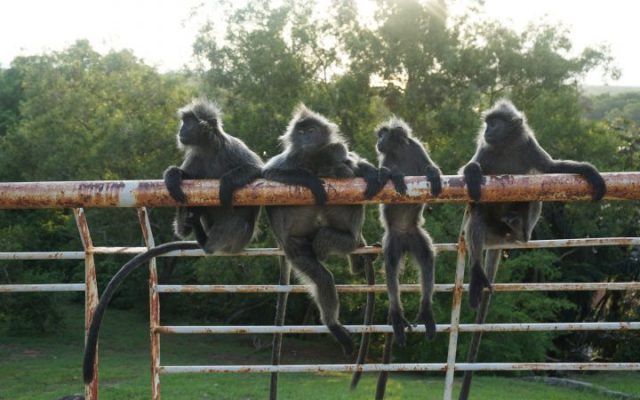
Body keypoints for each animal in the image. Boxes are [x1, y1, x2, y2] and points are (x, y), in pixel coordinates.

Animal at [83, 99, 264, 384]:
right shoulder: (196, 159)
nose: (180, 129)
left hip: (237, 233)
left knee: (232, 218)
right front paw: (173, 176)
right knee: (191, 210)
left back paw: (205, 236)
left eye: (188, 122)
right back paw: (190, 222)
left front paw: (226, 182)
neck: (208, 149)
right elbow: (184, 176)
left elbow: (257, 170)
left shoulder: (232, 149)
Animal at [263, 105, 389, 357]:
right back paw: (334, 324)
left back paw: (358, 259)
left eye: (311, 131)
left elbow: (354, 167)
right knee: (322, 274)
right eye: (301, 132)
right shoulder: (291, 160)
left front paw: (370, 172)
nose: (305, 138)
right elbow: (268, 173)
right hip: (297, 248)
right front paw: (312, 181)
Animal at [457, 99, 606, 400]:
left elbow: (550, 169)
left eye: (495, 123)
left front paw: (589, 171)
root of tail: (502, 236)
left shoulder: (528, 145)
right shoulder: (485, 150)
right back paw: (477, 274)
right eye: (488, 123)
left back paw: (519, 228)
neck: (505, 146)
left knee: (534, 187)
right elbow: (468, 172)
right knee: (477, 210)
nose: (487, 130)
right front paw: (473, 172)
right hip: (489, 227)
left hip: (515, 218)